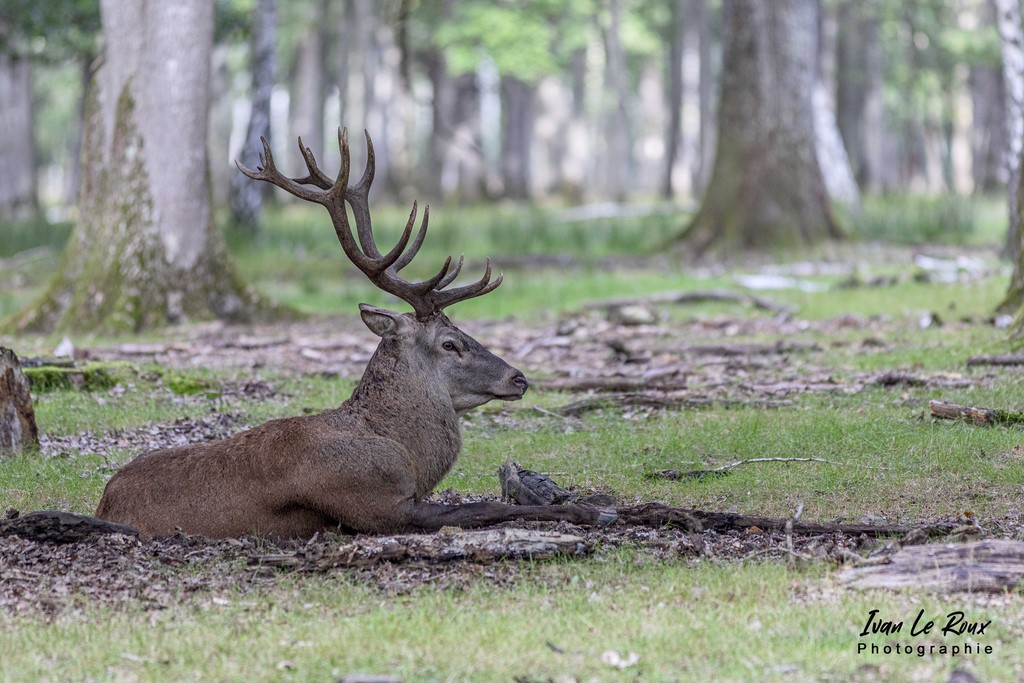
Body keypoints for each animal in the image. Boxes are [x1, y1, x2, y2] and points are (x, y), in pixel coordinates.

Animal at [95, 129, 616, 539]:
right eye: (450, 343)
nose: (518, 378)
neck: (406, 457)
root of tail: (103, 502)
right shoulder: (374, 505)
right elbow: (484, 507)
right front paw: (591, 511)